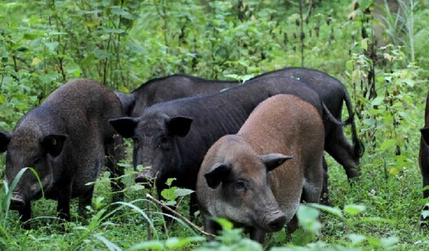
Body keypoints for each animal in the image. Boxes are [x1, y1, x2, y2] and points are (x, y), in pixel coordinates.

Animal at [196, 94, 322, 243]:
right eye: (239, 184)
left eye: (266, 177)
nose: (278, 217)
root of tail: (303, 102)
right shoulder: (206, 214)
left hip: (315, 163)